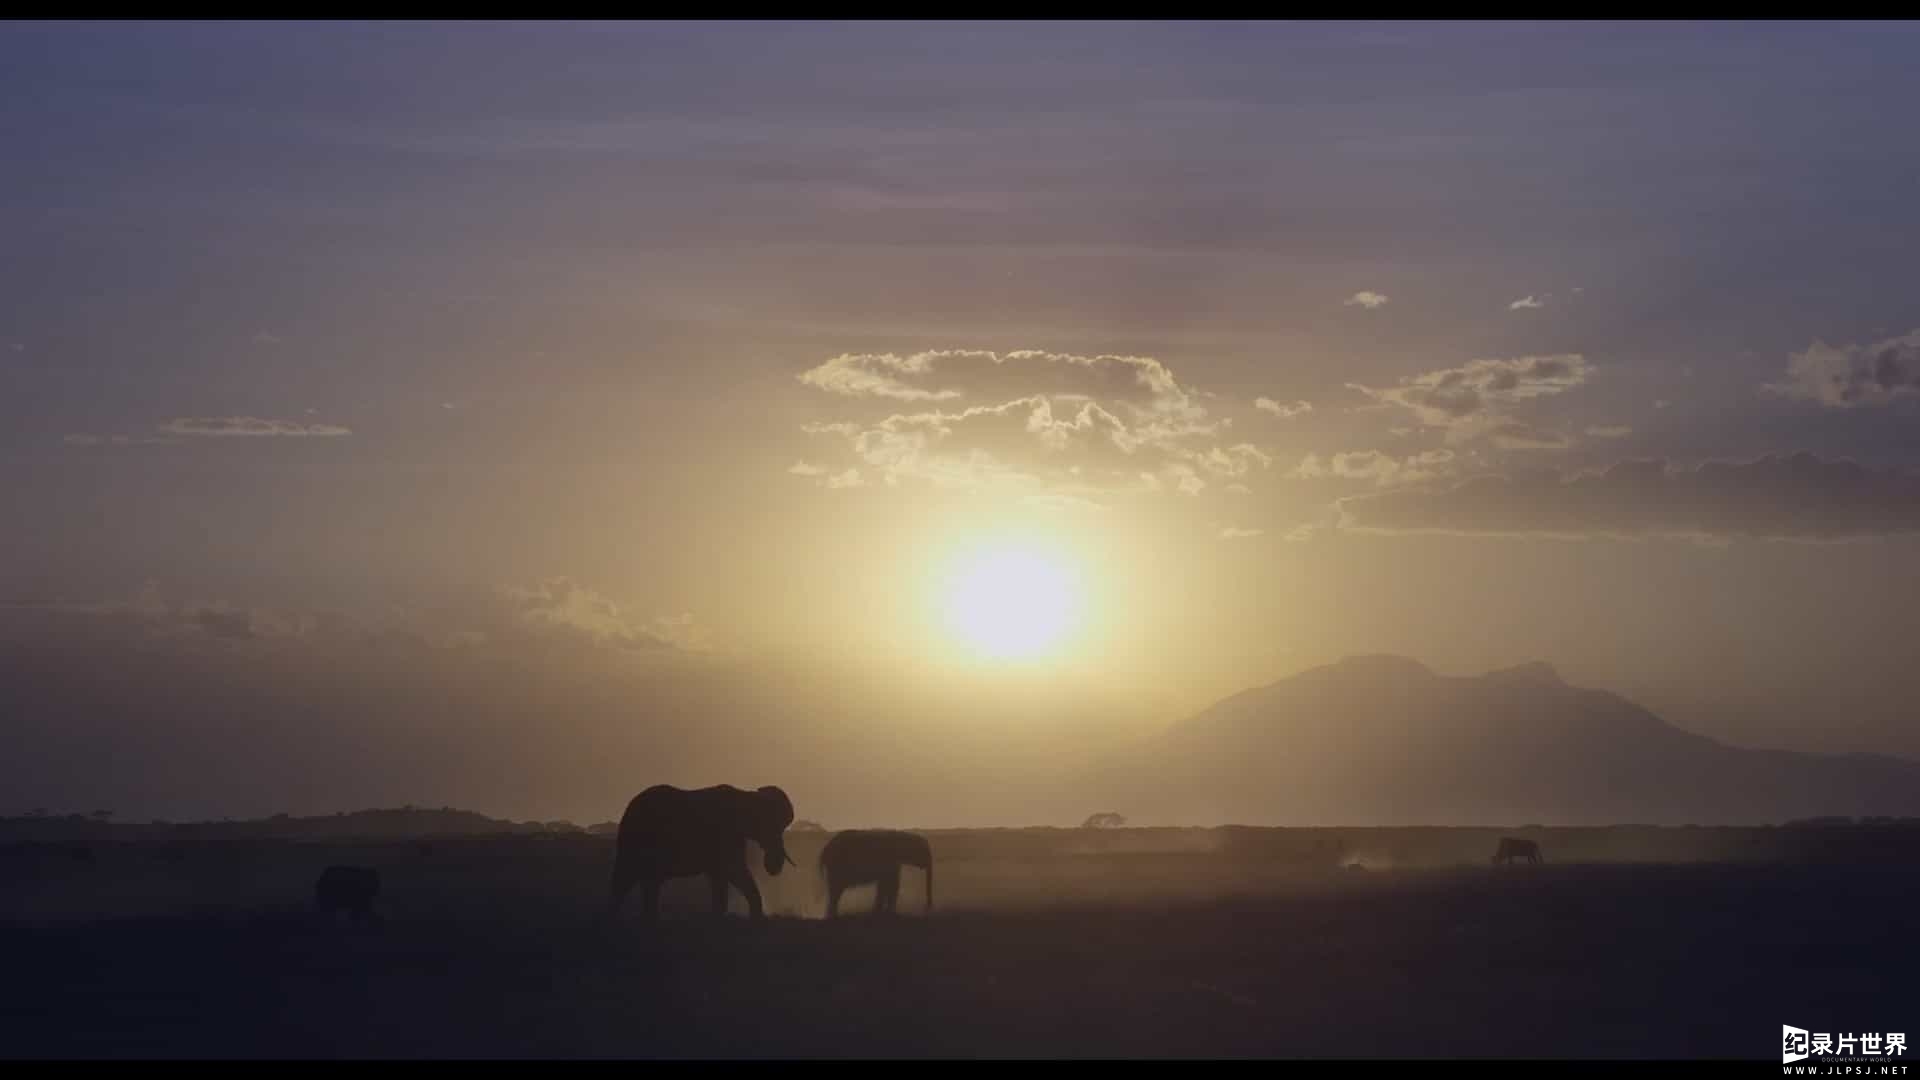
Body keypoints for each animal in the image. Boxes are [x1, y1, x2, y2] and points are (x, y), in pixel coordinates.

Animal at [595, 776, 791, 922]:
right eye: (773, 826)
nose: (773, 868)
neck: (746, 795)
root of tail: (628, 809)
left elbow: (721, 877)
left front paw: (719, 919)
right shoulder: (725, 834)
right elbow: (734, 871)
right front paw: (756, 920)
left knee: (645, 882)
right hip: (637, 840)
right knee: (627, 877)